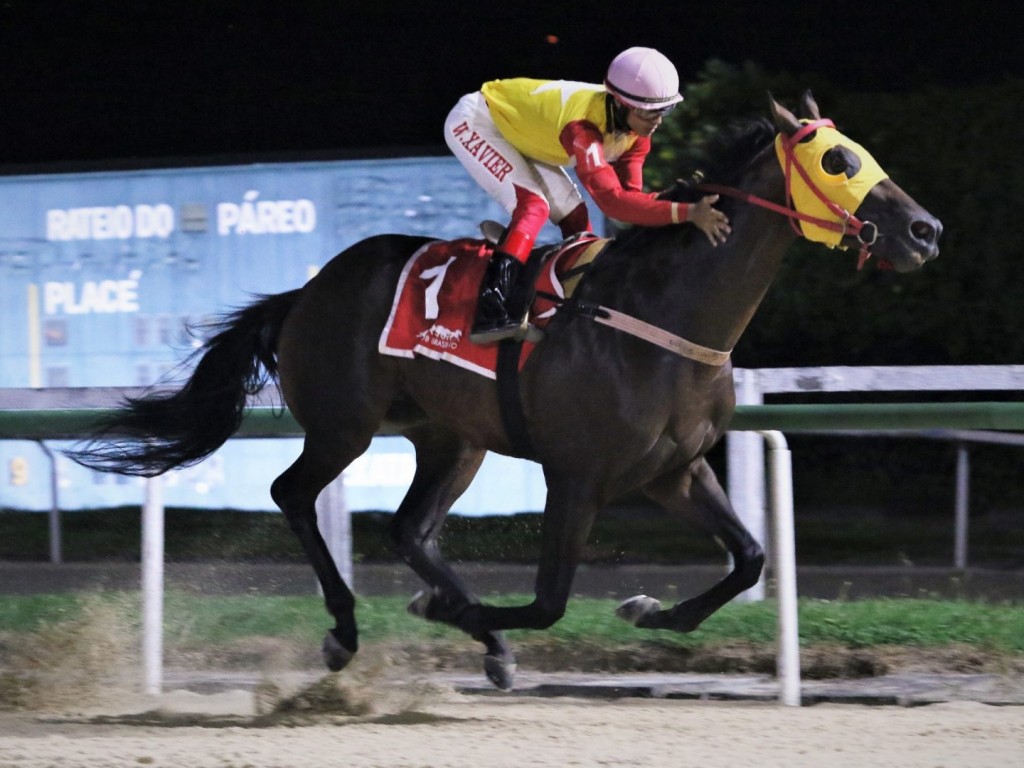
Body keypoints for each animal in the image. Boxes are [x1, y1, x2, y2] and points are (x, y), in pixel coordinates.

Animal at [68, 93, 937, 696]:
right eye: (838, 162)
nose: (925, 230)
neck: (662, 316)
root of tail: (307, 291)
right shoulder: (577, 477)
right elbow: (550, 600)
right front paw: (453, 615)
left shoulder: (673, 471)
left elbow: (750, 557)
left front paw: (651, 612)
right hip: (346, 425)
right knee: (293, 494)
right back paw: (350, 630)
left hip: (452, 439)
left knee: (410, 529)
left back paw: (467, 635)